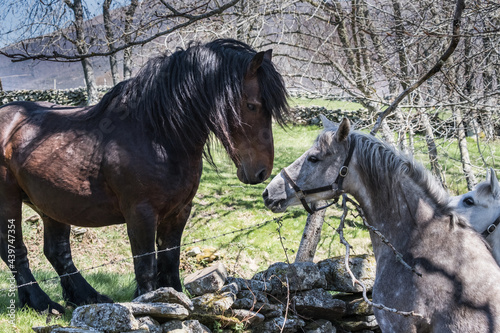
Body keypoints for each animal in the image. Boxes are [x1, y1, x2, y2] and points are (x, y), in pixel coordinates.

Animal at [0, 39, 288, 312]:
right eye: (252, 105)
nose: (261, 171)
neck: (157, 135)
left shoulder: (179, 211)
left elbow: (169, 261)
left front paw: (179, 300)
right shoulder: (141, 213)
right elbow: (146, 265)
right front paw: (149, 304)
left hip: (51, 205)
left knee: (58, 253)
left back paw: (88, 297)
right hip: (10, 202)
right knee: (15, 252)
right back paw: (43, 304)